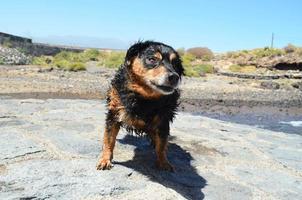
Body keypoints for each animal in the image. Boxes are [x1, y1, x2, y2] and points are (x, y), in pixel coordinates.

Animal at [96, 41, 183, 172]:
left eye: (175, 64)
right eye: (152, 59)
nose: (174, 77)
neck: (144, 97)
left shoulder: (163, 119)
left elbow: (162, 144)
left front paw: (163, 162)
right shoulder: (114, 113)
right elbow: (109, 140)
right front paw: (105, 159)